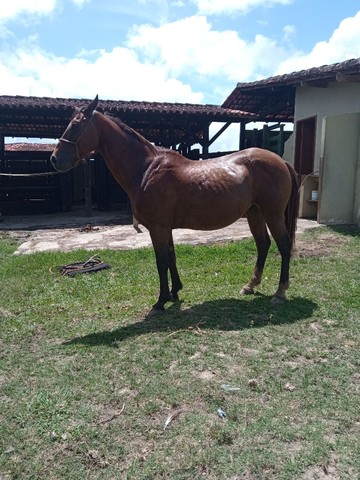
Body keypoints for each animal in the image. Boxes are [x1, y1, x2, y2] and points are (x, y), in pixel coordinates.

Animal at [50, 95, 298, 312]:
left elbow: (161, 261)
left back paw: (280, 293)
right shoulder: (165, 227)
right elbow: (171, 256)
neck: (146, 169)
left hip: (273, 213)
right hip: (255, 213)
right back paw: (250, 285)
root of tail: (280, 161)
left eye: (75, 125)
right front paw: (175, 291)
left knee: (284, 246)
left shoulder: (157, 228)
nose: (54, 159)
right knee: (263, 244)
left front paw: (161, 301)